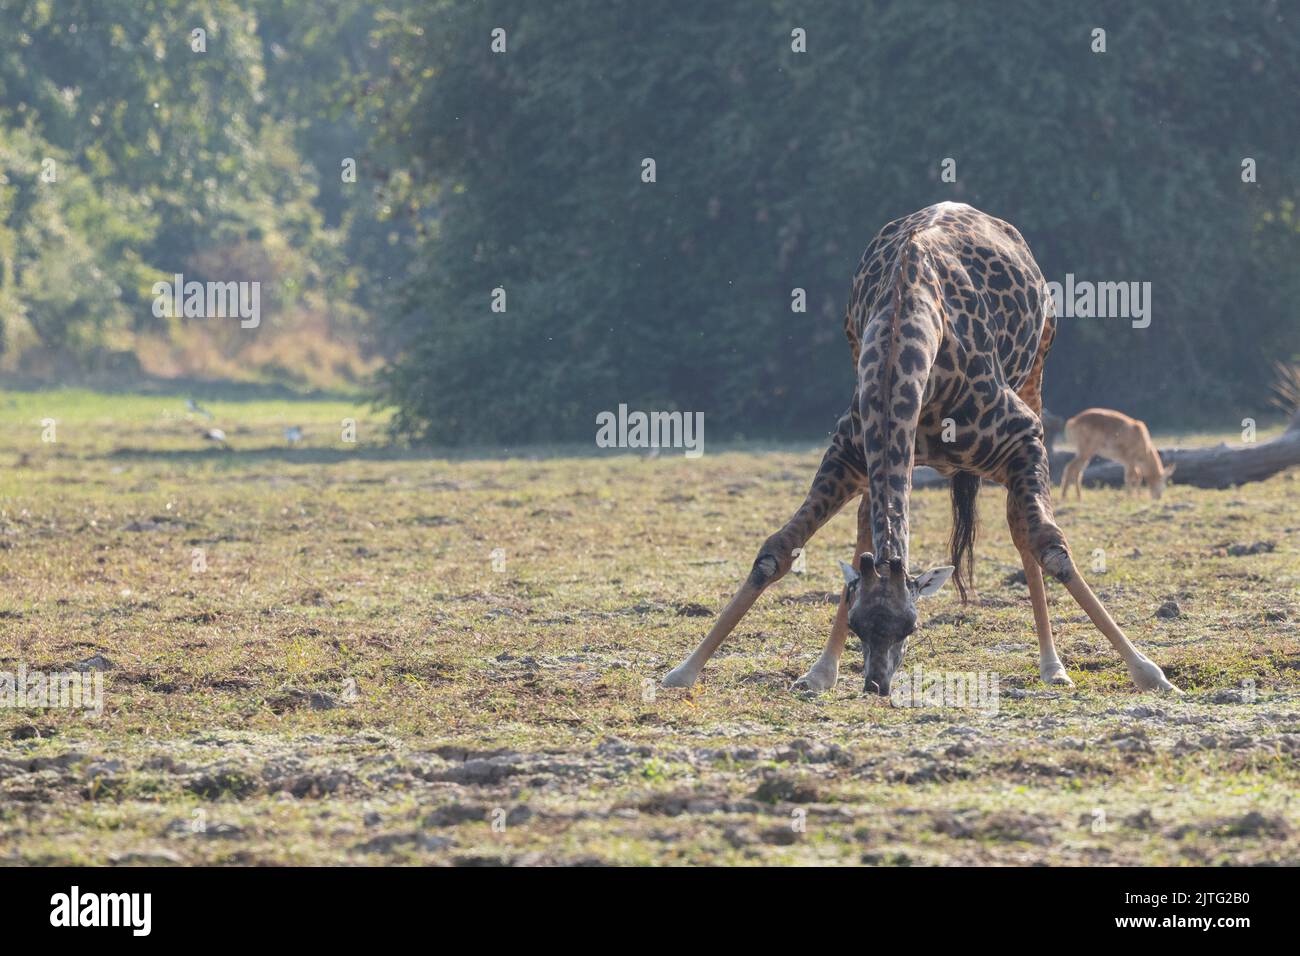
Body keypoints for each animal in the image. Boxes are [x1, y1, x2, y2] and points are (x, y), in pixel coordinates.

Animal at [665, 201, 1185, 697]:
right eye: (859, 624)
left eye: (911, 627)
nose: (876, 685)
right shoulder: (848, 452)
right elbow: (777, 549)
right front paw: (685, 670)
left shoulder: (1024, 437)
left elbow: (1050, 547)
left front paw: (1150, 673)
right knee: (866, 525)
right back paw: (820, 673)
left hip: (1037, 371)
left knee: (1021, 530)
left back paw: (1053, 667)